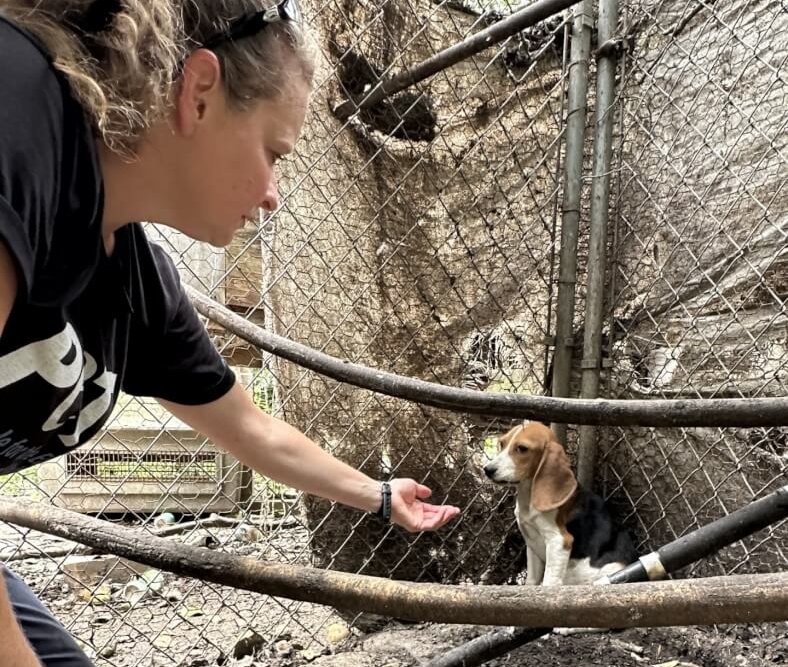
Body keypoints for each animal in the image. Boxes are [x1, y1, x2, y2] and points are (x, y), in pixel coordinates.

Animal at [484, 426, 636, 588]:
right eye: (502, 444)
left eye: (522, 448)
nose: (487, 469)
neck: (528, 497)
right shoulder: (531, 543)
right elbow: (531, 580)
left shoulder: (559, 540)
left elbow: (549, 580)